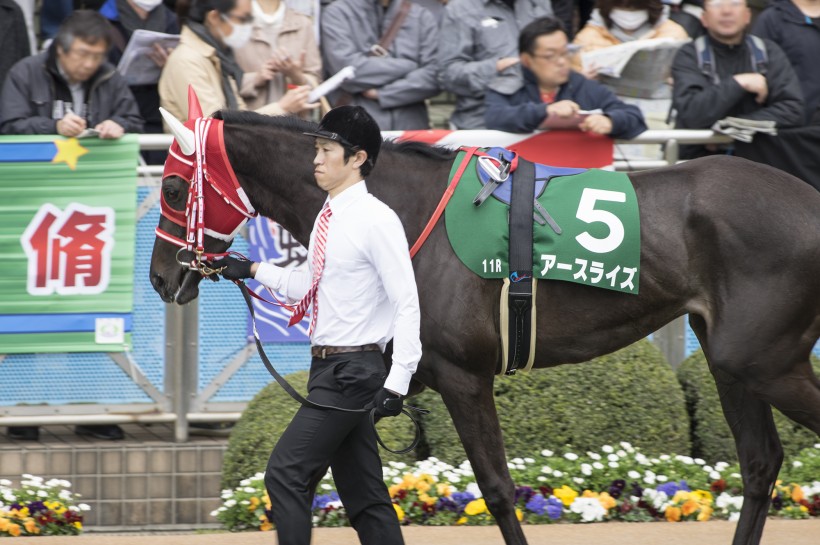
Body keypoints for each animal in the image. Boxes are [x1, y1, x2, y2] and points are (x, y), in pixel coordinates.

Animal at [151, 107, 820, 544]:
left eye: (175, 187)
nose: (161, 277)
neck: (403, 207)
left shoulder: (462, 375)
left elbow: (497, 489)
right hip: (732, 361)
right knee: (760, 462)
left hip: (763, 361)